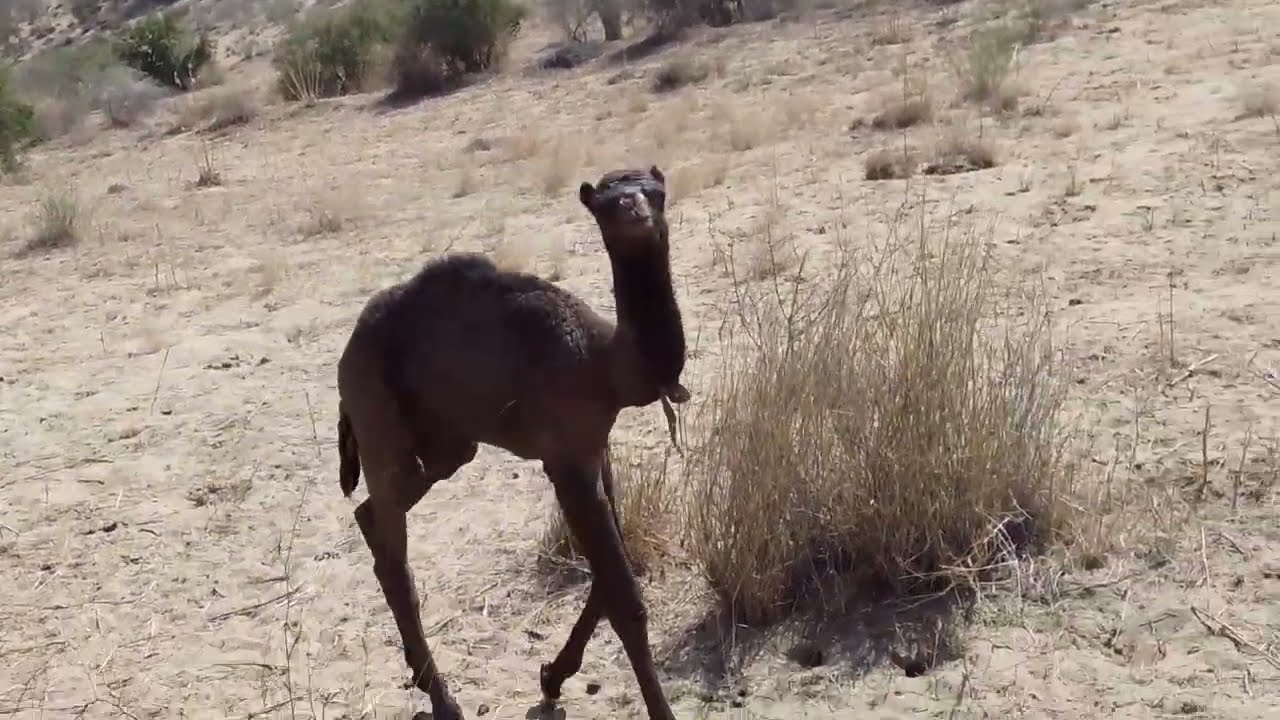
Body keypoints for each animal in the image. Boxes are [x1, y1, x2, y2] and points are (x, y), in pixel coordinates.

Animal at [335, 165, 688, 720]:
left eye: (656, 192)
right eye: (605, 203)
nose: (636, 212)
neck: (604, 364)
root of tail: (345, 354)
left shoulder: (595, 448)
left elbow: (610, 574)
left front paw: (552, 675)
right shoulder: (566, 459)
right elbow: (625, 598)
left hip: (447, 446)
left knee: (372, 514)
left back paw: (424, 676)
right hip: (377, 413)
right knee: (394, 555)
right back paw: (444, 701)